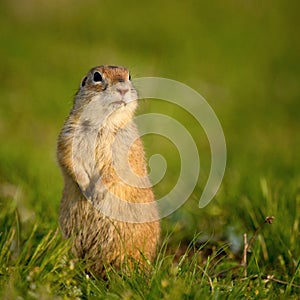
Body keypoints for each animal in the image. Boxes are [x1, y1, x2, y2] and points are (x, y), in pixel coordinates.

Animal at [56, 65, 159, 274]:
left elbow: (116, 171)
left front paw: (97, 193)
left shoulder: (126, 148)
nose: (123, 89)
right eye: (97, 76)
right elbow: (68, 160)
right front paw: (85, 186)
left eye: (129, 76)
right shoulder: (68, 137)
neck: (104, 123)